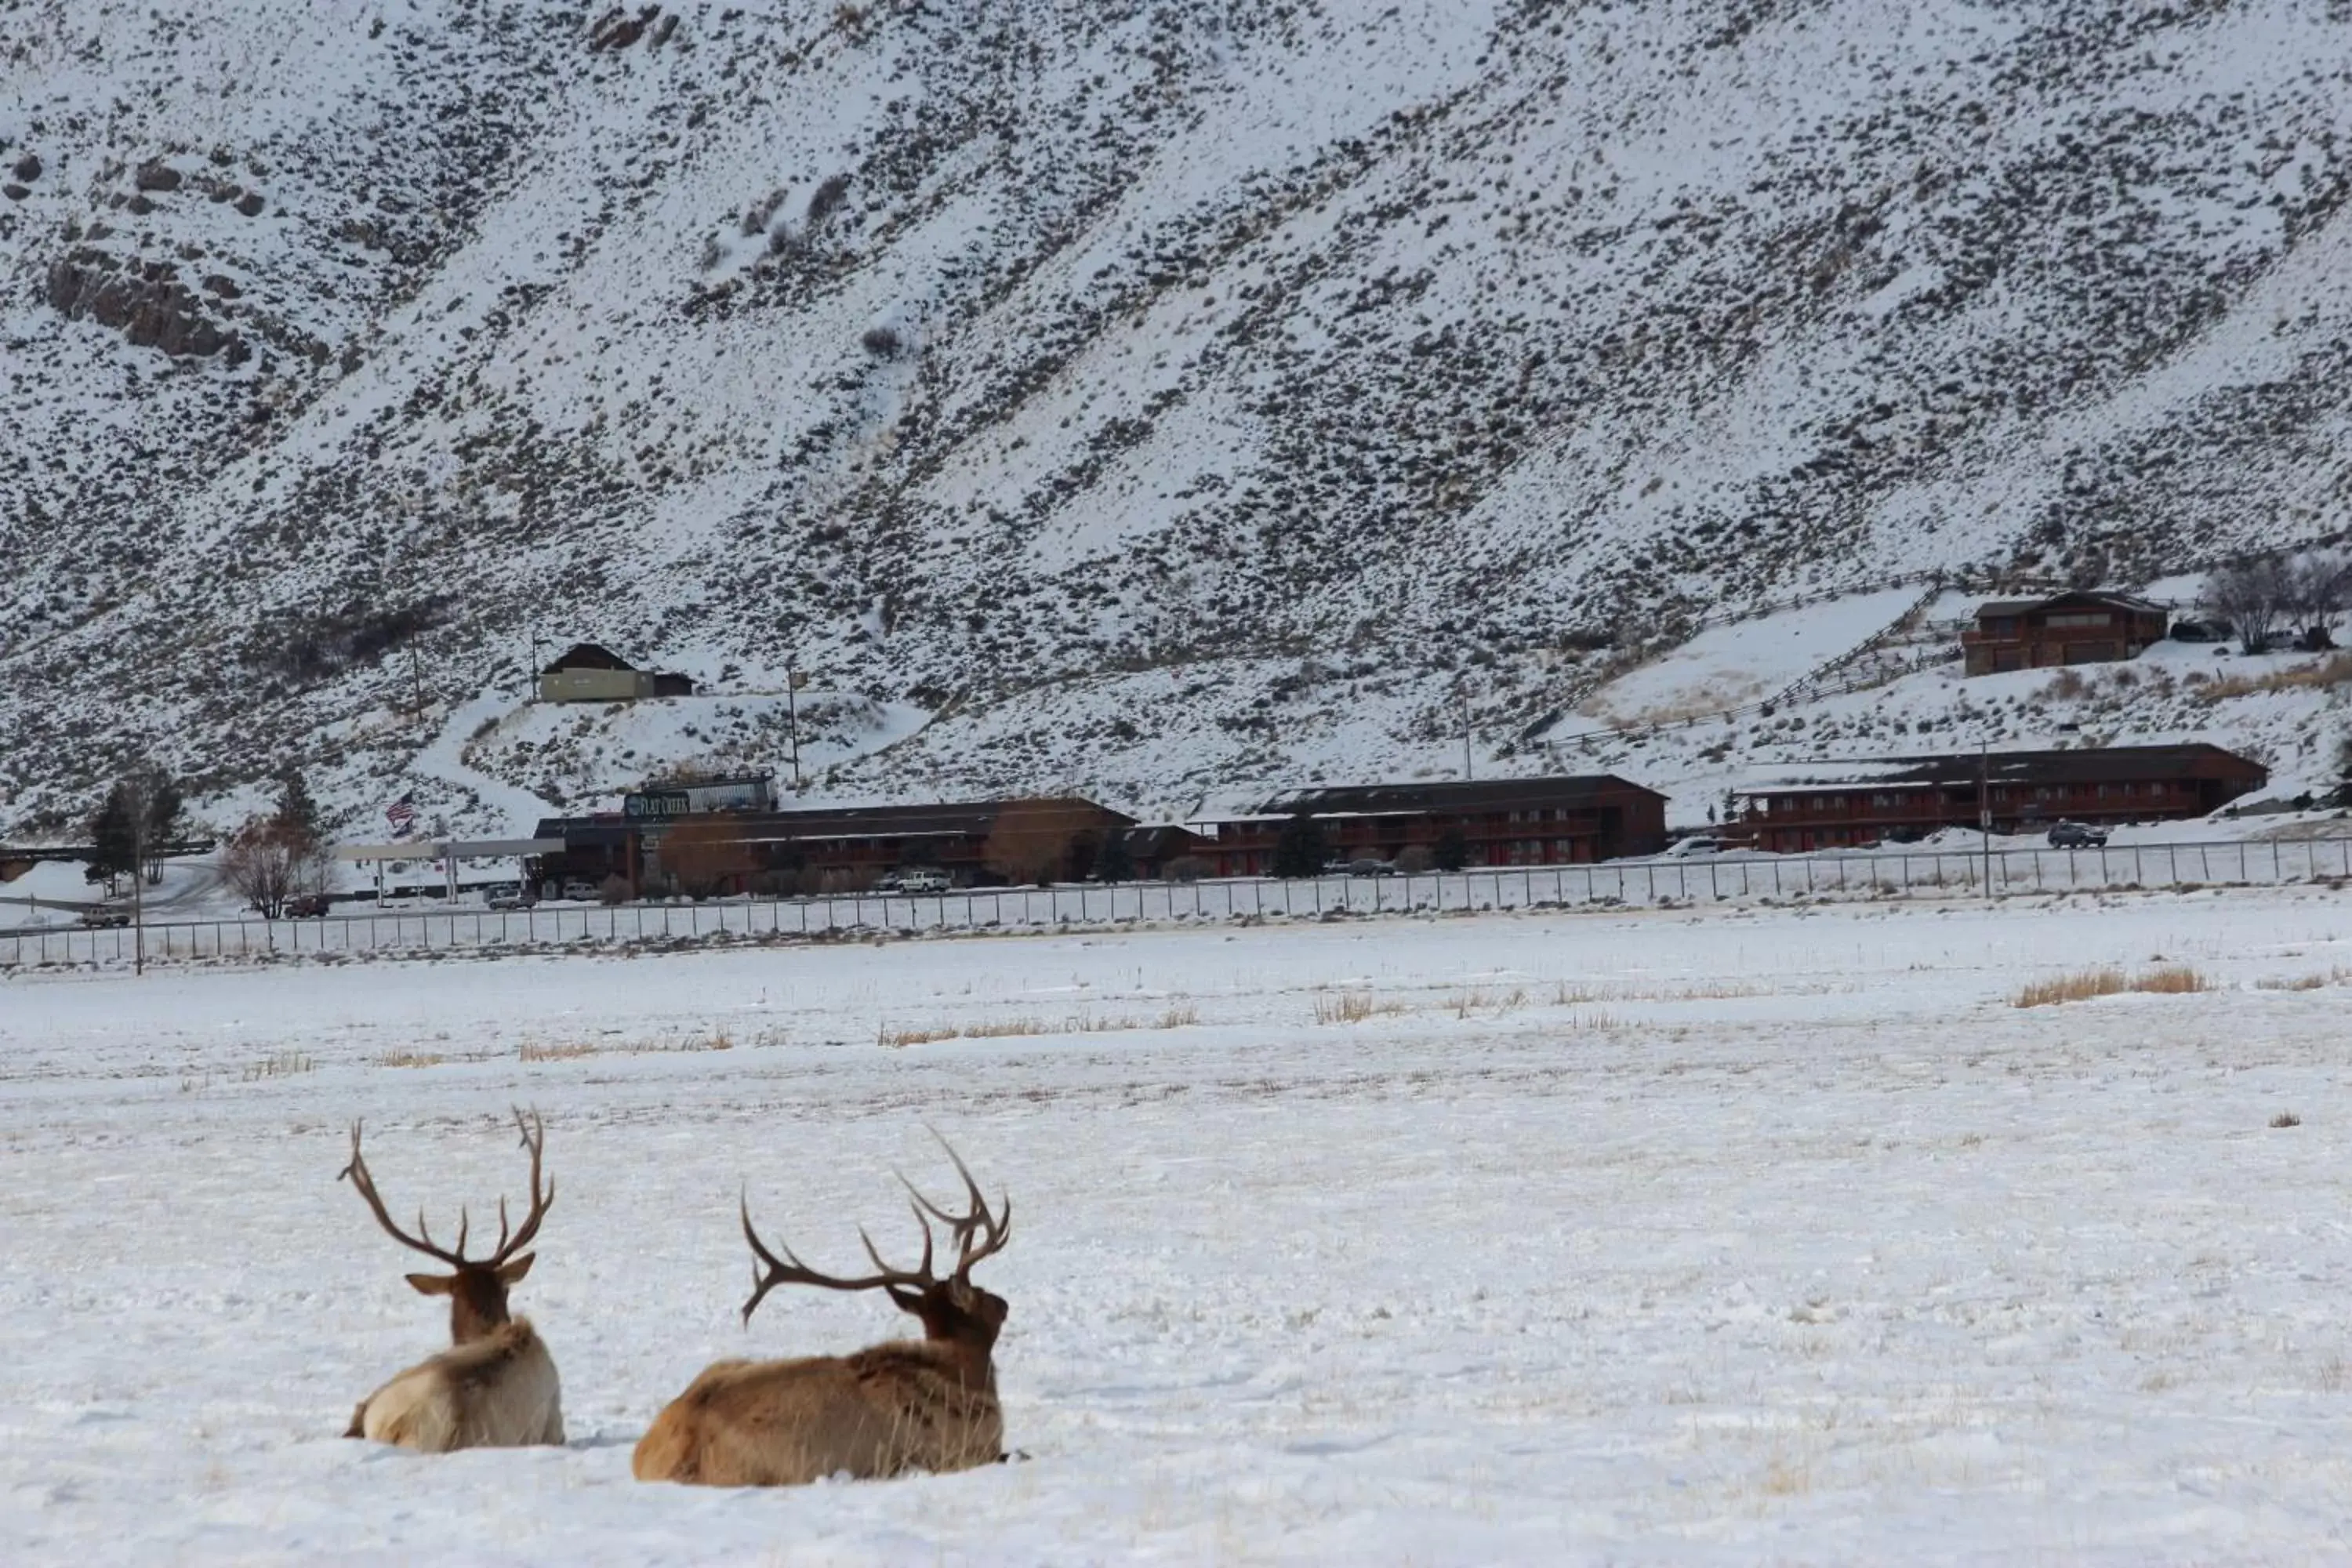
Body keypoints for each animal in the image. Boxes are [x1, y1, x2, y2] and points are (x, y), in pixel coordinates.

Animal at [635, 1142, 1011, 1486]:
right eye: (980, 1293)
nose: (1004, 1302)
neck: (968, 1373)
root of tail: (648, 1457)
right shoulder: (960, 1450)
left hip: (725, 1364)